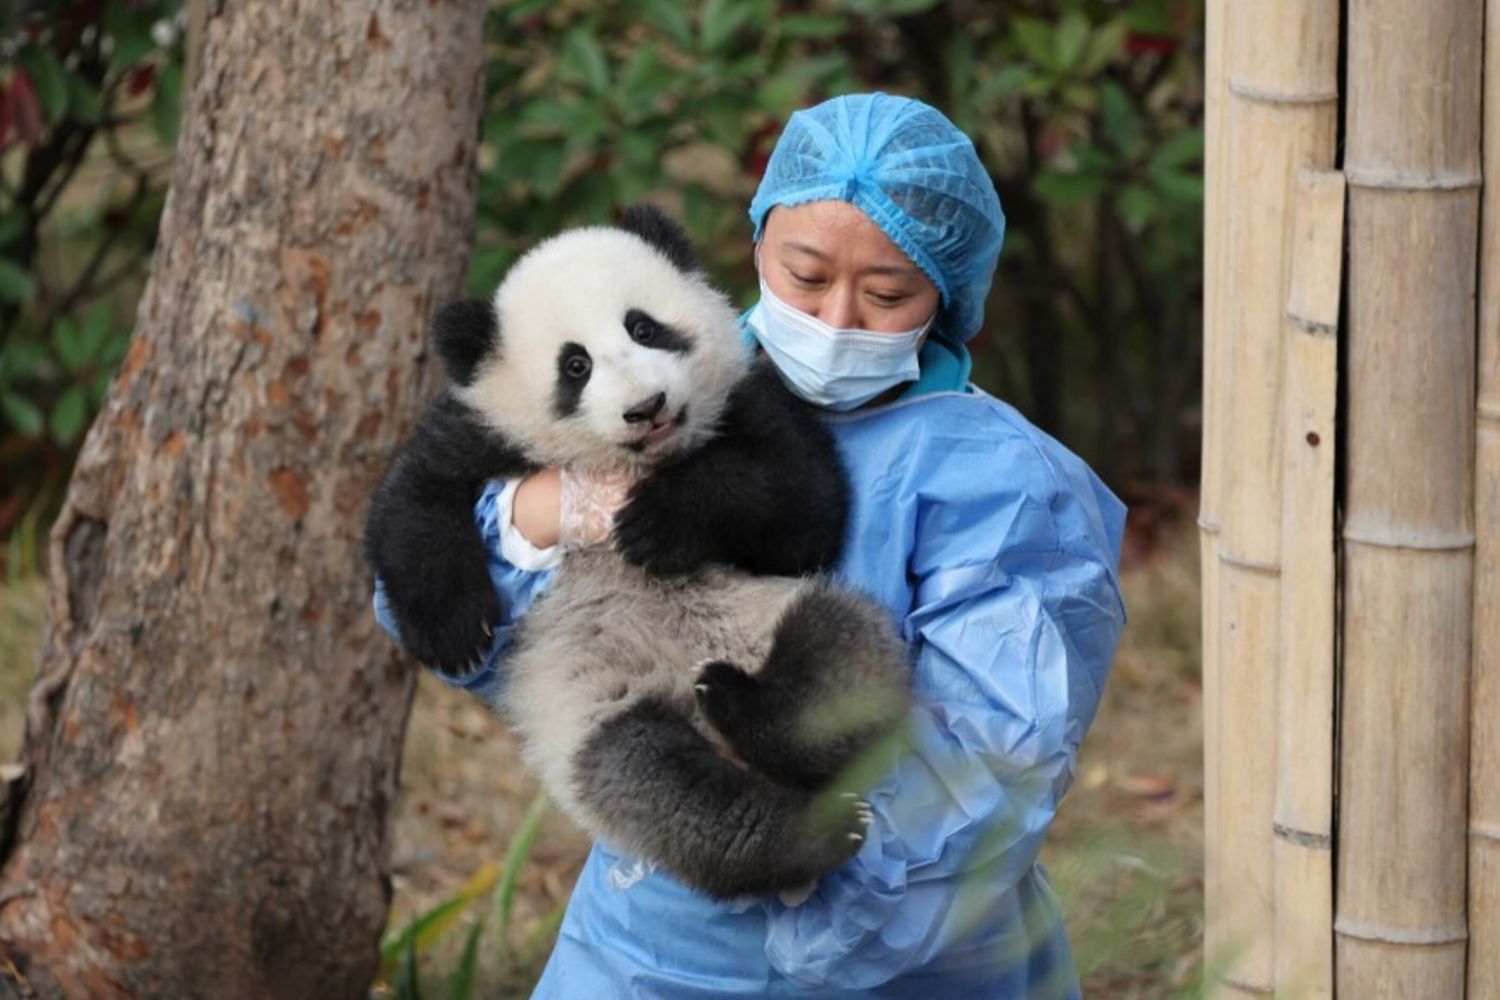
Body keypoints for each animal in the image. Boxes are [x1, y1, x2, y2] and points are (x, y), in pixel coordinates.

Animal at [366, 205, 911, 898]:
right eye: (575, 366)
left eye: (644, 327)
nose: (647, 407)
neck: (638, 461)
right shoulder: (482, 430)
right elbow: (413, 501)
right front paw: (454, 631)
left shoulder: (747, 400)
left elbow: (801, 504)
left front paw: (657, 523)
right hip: (599, 710)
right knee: (658, 786)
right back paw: (798, 833)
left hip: (778, 614)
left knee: (837, 663)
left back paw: (748, 708)